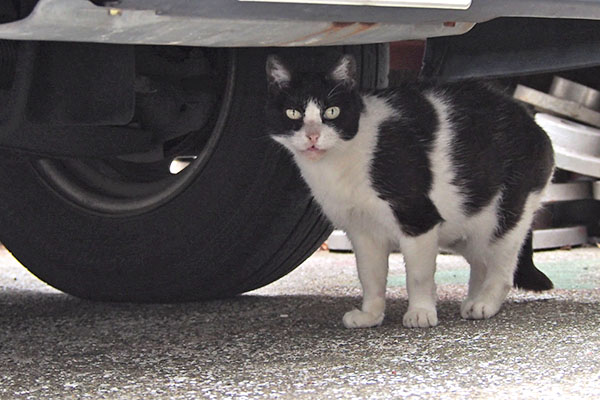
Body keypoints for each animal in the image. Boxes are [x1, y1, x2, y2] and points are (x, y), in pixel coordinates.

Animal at [264, 54, 556, 328]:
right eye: (293, 113)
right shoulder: (362, 232)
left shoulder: (419, 220)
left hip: (506, 216)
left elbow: (418, 275)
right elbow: (369, 277)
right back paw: (472, 301)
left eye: (332, 111)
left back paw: (484, 304)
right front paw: (370, 315)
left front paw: (421, 313)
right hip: (470, 225)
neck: (336, 167)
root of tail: (532, 121)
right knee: (481, 262)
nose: (313, 136)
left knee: (502, 268)